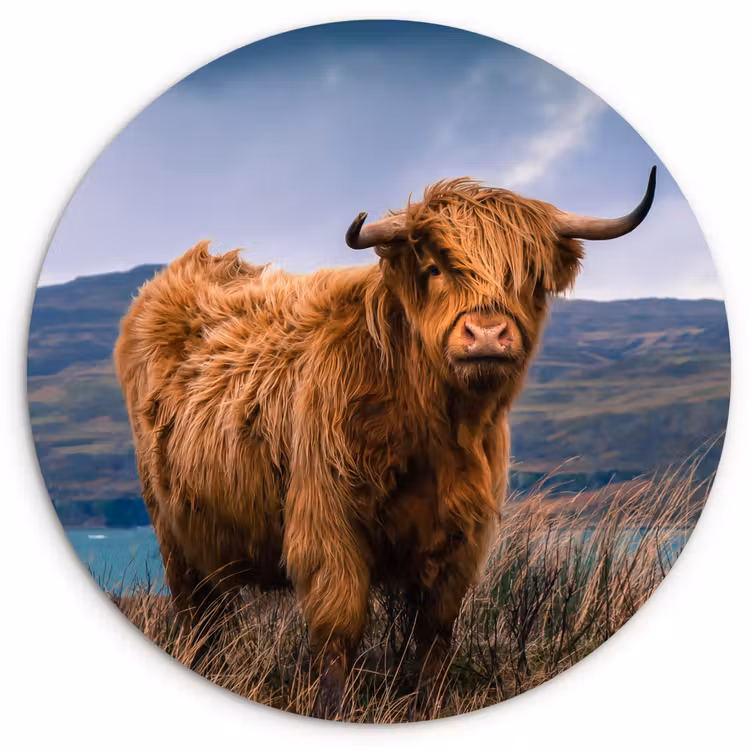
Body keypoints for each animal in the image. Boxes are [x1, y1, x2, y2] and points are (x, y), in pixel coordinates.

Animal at [114, 168, 656, 716]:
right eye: (435, 268)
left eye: (527, 276)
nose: (486, 335)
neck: (434, 429)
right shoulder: (328, 525)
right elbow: (339, 629)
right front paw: (333, 709)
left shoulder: (462, 537)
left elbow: (435, 633)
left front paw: (429, 705)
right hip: (172, 530)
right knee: (195, 612)